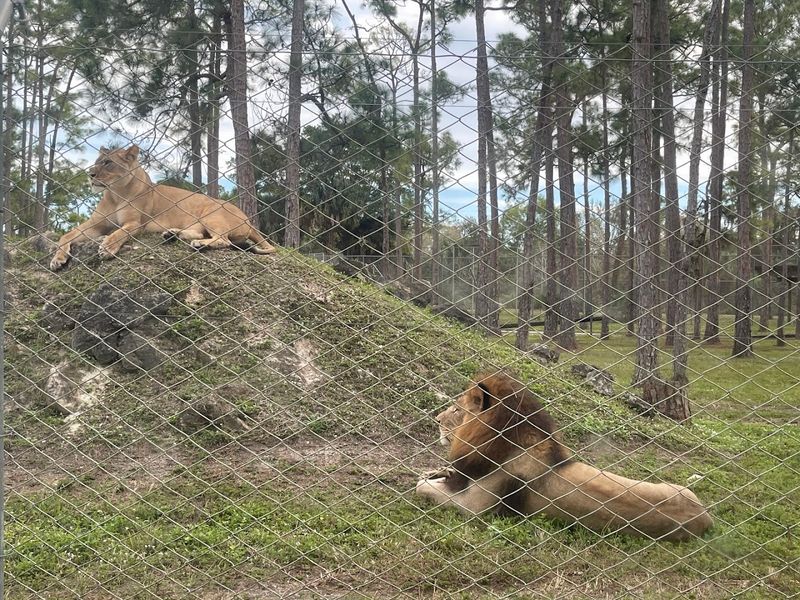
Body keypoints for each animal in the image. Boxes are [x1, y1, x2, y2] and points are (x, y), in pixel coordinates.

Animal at [49, 145, 276, 271]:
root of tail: (249, 220)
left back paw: (199, 244)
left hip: (211, 214)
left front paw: (107, 248)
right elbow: (67, 235)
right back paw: (172, 234)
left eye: (107, 163)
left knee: (223, 240)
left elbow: (119, 233)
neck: (115, 194)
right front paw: (57, 259)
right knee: (201, 233)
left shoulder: (135, 223)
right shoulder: (96, 224)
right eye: (97, 161)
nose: (90, 174)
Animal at [417, 373, 713, 541]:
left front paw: (427, 480)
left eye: (456, 410)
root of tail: (705, 519)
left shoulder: (476, 507)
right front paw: (436, 472)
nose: (436, 419)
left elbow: (424, 489)